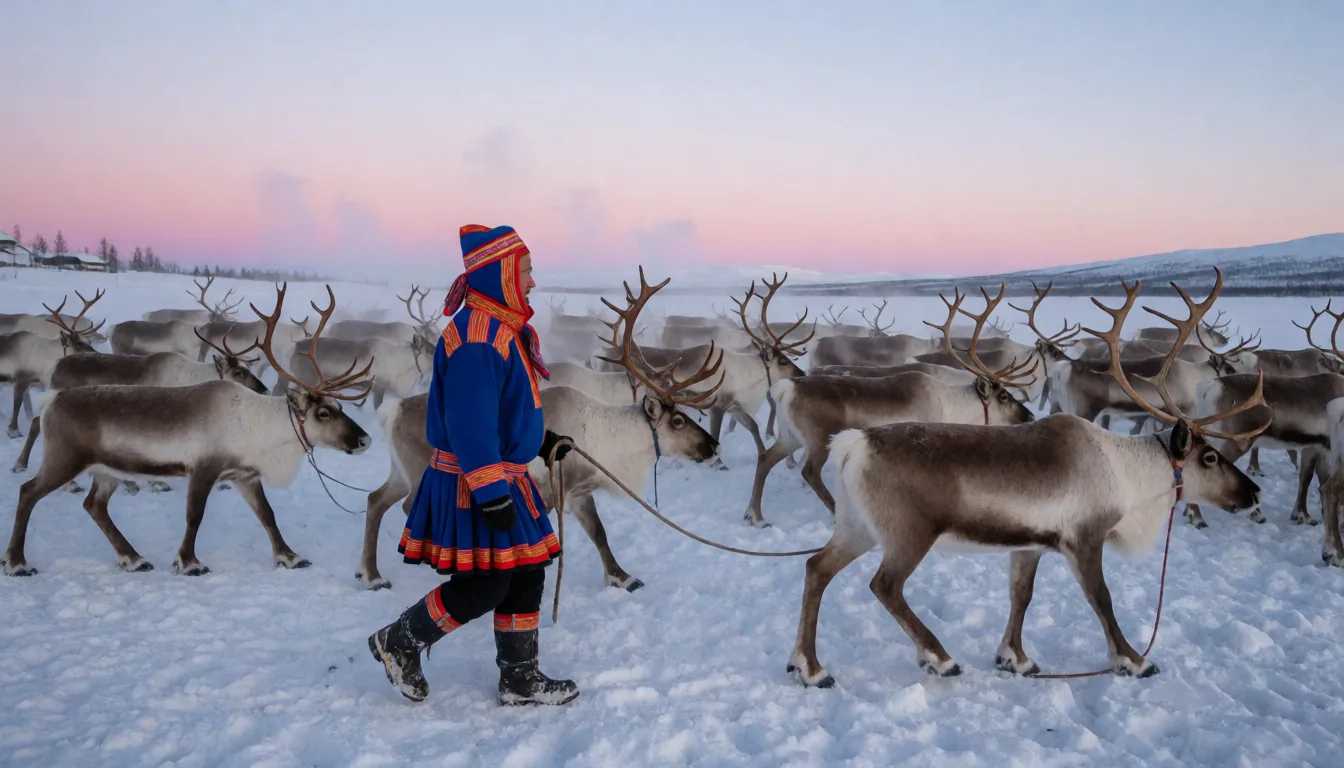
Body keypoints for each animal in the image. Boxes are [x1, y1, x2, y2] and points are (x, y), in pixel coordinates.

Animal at [0, 291, 105, 437]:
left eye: (88, 341)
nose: (97, 354)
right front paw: (14, 431)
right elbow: (17, 404)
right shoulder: (20, 379)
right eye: (78, 345)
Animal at [356, 267, 723, 592]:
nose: (713, 446)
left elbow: (599, 532)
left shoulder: (579, 491)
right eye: (678, 421)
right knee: (408, 508)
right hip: (423, 473)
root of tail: (394, 410)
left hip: (400, 471)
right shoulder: (549, 490)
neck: (608, 439)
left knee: (376, 500)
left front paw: (622, 577)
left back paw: (371, 575)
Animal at [743, 283, 1039, 528]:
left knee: (765, 459)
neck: (954, 405)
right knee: (810, 472)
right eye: (1004, 397)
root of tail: (786, 388)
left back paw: (756, 516)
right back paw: (833, 513)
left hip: (790, 436)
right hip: (819, 438)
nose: (1029, 415)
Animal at [786, 267, 1268, 687]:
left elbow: (1022, 595)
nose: (1253, 492)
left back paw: (810, 667)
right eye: (1210, 457)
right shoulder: (1084, 538)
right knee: (884, 585)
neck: (1128, 474)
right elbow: (1103, 600)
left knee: (816, 568)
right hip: (908, 534)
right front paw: (1134, 659)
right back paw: (939, 657)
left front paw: (1014, 658)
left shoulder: (1030, 543)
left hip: (858, 527)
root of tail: (853, 445)